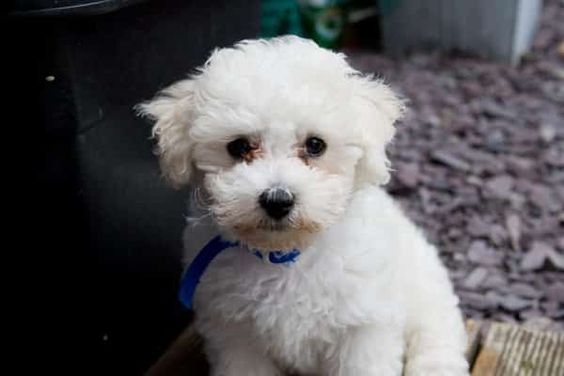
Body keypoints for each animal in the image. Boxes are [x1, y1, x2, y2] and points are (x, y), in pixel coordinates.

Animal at [139, 36, 470, 376]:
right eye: (239, 147)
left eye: (315, 145)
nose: (278, 200)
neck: (286, 255)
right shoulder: (234, 332)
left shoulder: (364, 325)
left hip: (427, 291)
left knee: (437, 336)